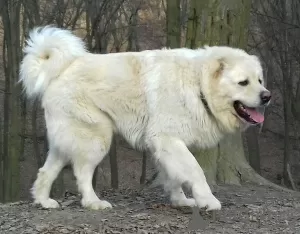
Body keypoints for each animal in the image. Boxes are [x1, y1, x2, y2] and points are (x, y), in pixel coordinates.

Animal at [19, 25, 270, 210]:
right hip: (95, 137)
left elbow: (174, 176)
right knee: (82, 173)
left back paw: (44, 201)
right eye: (243, 82)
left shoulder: (165, 145)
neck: (198, 84)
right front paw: (207, 200)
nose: (267, 96)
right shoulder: (168, 139)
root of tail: (62, 69)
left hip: (66, 140)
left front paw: (180, 200)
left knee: (46, 171)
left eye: (259, 80)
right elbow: (195, 170)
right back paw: (93, 203)